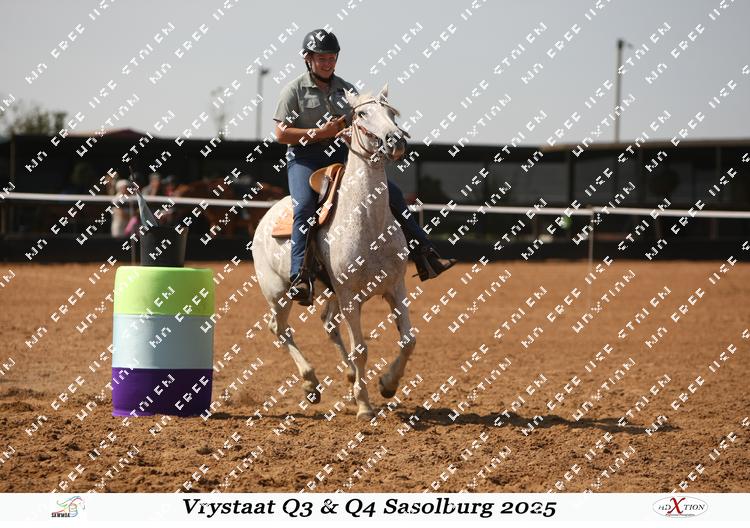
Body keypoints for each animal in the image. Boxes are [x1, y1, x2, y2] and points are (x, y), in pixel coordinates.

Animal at [251, 84, 415, 419]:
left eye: (391, 112)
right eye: (362, 113)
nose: (396, 141)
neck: (368, 223)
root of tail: (265, 216)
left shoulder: (396, 287)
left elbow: (408, 340)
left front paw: (387, 385)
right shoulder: (350, 296)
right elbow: (361, 349)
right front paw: (364, 405)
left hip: (329, 292)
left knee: (327, 324)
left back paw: (348, 378)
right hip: (278, 292)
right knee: (280, 329)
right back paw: (311, 384)